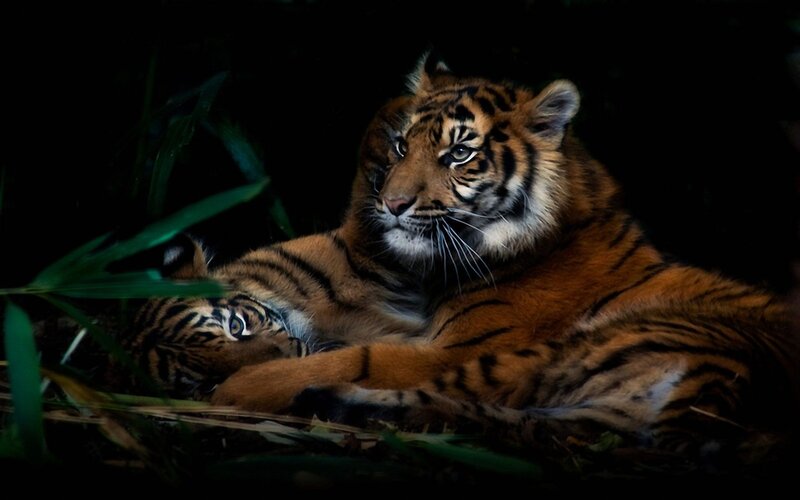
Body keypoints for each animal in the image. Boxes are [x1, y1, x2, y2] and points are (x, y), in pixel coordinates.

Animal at [209, 54, 799, 452]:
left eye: (458, 154)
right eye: (402, 146)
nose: (392, 204)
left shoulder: (456, 347)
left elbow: (361, 357)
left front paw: (244, 382)